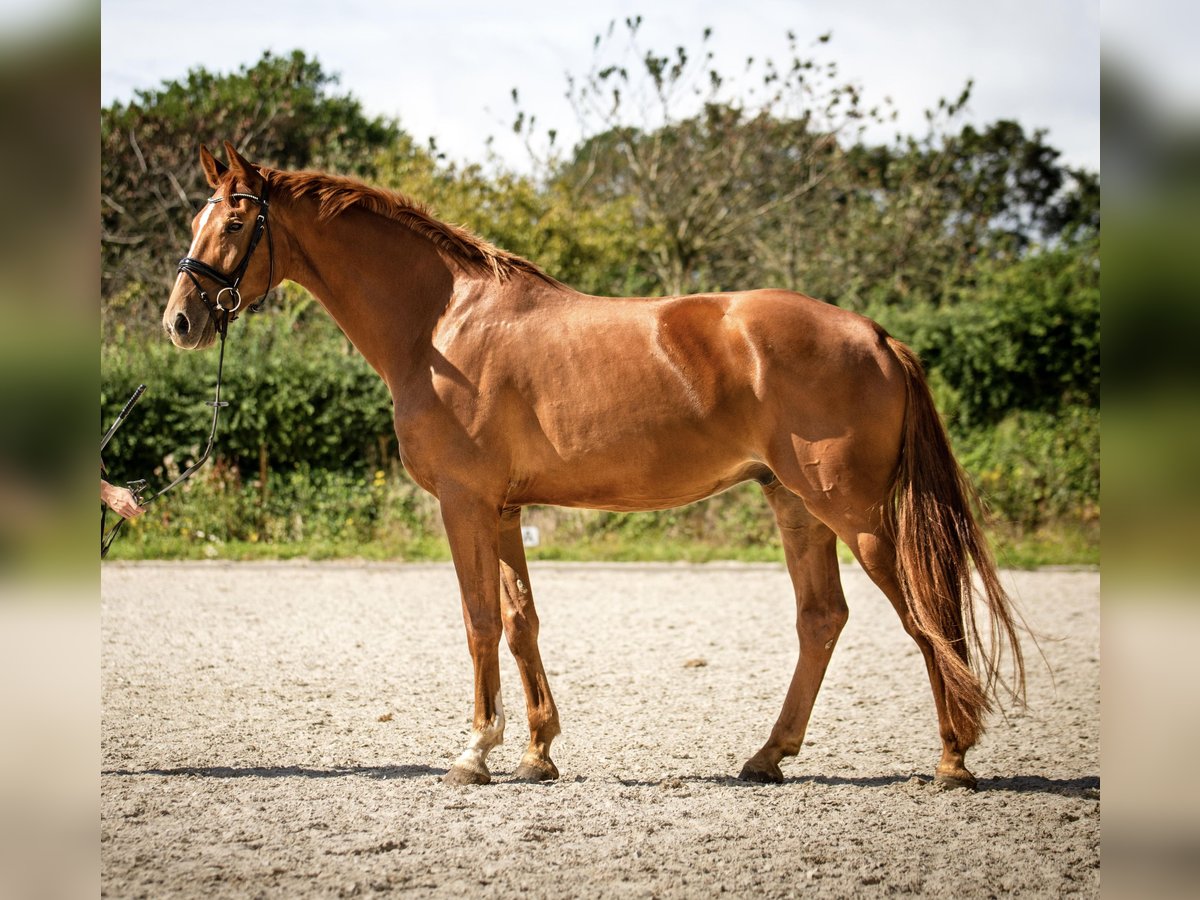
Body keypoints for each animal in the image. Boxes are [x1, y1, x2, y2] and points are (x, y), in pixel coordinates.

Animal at [162, 141, 1022, 787]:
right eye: (196, 218)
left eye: (234, 220)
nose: (180, 320)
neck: (441, 325)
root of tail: (876, 335)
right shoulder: (505, 508)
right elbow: (520, 621)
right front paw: (537, 751)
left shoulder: (463, 502)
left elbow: (478, 621)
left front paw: (474, 752)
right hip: (794, 505)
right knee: (822, 620)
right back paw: (767, 756)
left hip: (854, 513)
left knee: (926, 613)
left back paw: (952, 759)